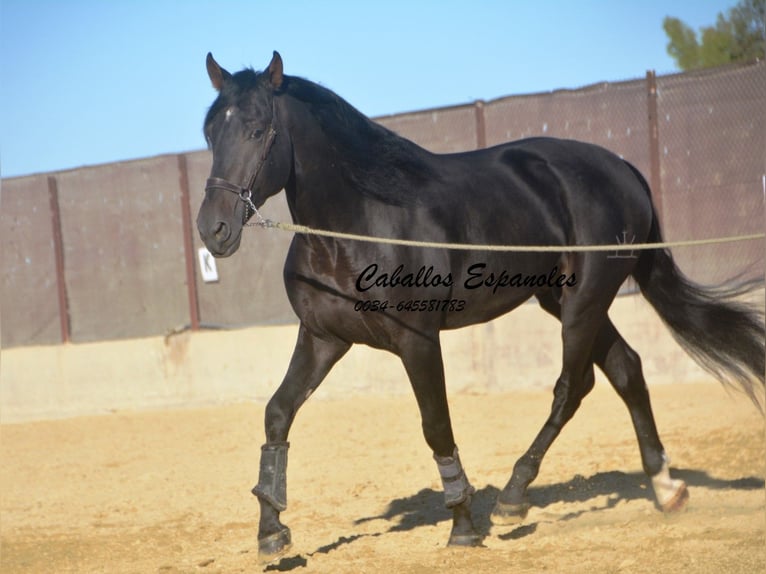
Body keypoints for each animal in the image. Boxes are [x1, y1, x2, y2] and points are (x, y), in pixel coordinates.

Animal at [198, 53, 766, 564]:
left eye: (256, 130)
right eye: (209, 134)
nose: (213, 229)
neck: (358, 226)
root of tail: (624, 169)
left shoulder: (417, 341)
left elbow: (436, 426)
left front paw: (465, 526)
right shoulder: (323, 339)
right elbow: (277, 415)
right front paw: (271, 533)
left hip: (585, 299)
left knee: (573, 385)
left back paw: (514, 496)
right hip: (563, 300)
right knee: (627, 369)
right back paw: (666, 489)